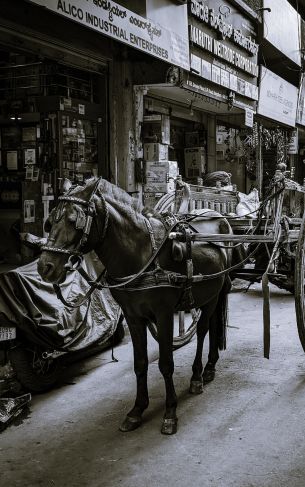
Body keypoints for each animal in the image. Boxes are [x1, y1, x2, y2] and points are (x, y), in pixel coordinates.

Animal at [37, 177, 235, 436]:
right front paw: (137, 410)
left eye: (74, 220)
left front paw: (170, 413)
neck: (140, 254)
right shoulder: (133, 316)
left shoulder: (163, 314)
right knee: (211, 325)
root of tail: (218, 215)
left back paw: (197, 375)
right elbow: (140, 364)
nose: (45, 267)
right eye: (50, 221)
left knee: (202, 330)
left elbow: (166, 363)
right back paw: (209, 367)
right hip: (210, 294)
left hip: (213, 293)